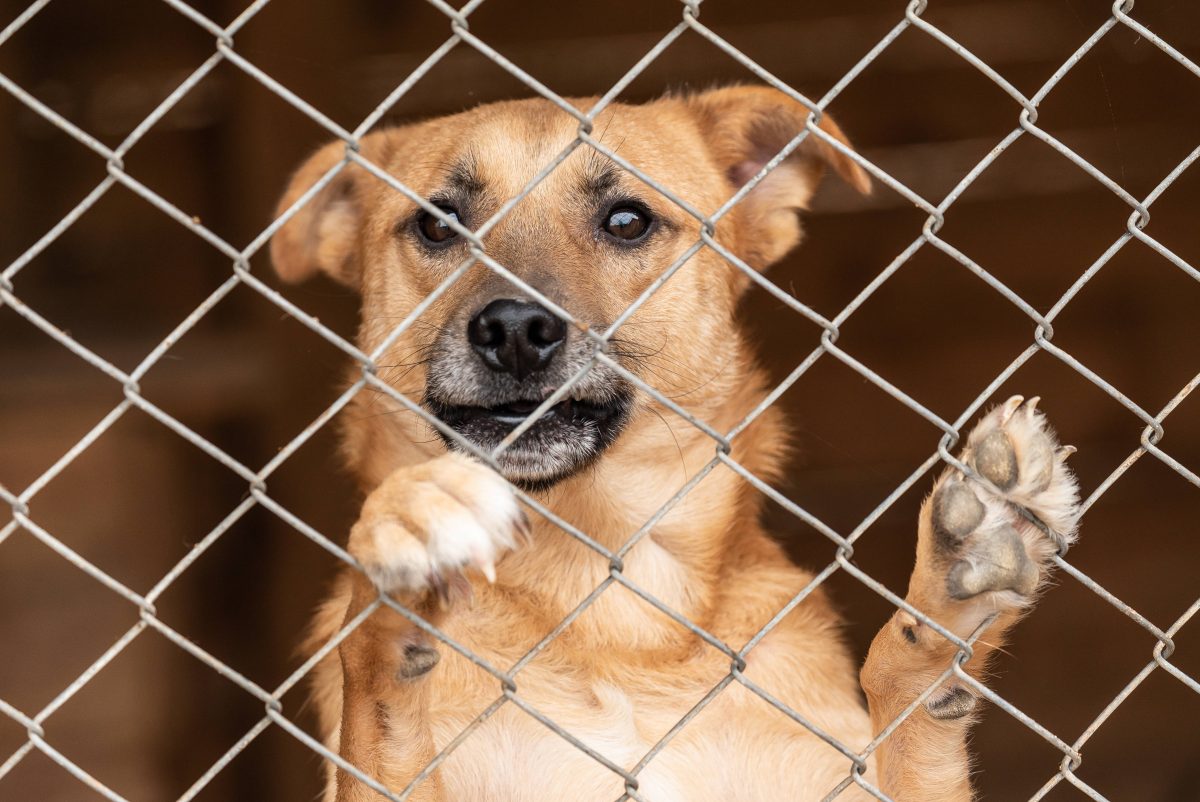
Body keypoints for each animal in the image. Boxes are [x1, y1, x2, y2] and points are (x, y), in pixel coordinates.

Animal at [274, 84, 1089, 797]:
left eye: (627, 221)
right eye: (438, 225)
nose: (513, 330)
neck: (607, 596)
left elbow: (903, 685)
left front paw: (961, 573)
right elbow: (372, 704)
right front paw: (402, 546)